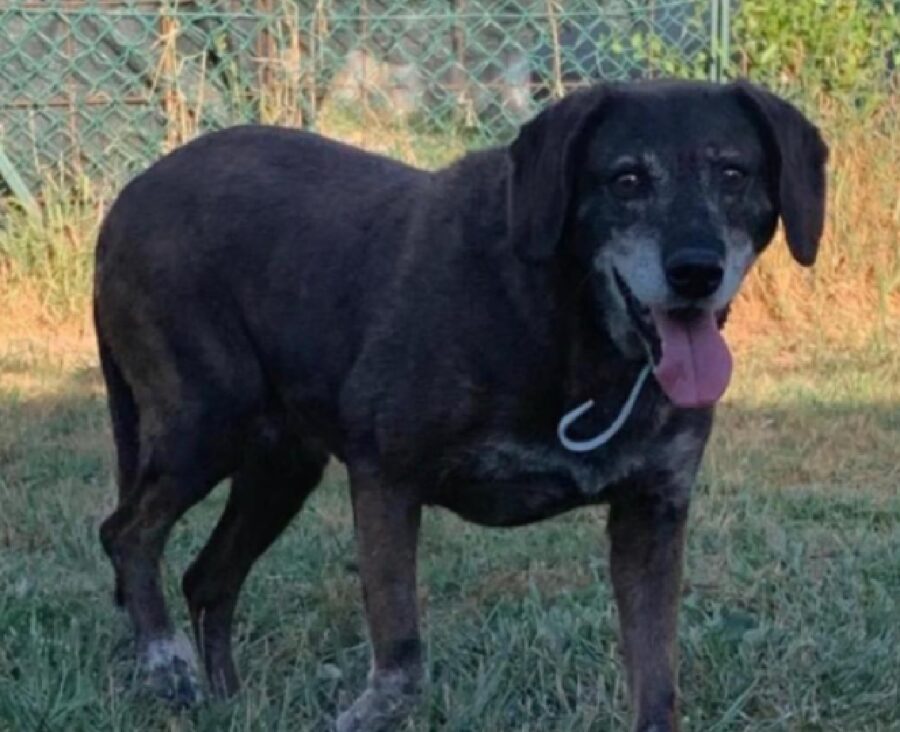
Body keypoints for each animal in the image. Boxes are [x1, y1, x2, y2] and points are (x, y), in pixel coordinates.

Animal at [95, 77, 828, 728]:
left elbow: (657, 688)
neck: (573, 330)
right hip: (205, 424)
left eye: (733, 173)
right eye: (626, 181)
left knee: (207, 579)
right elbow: (401, 671)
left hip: (282, 465)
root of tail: (130, 194)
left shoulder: (652, 513)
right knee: (126, 534)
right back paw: (166, 663)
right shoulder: (386, 480)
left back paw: (225, 700)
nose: (696, 271)